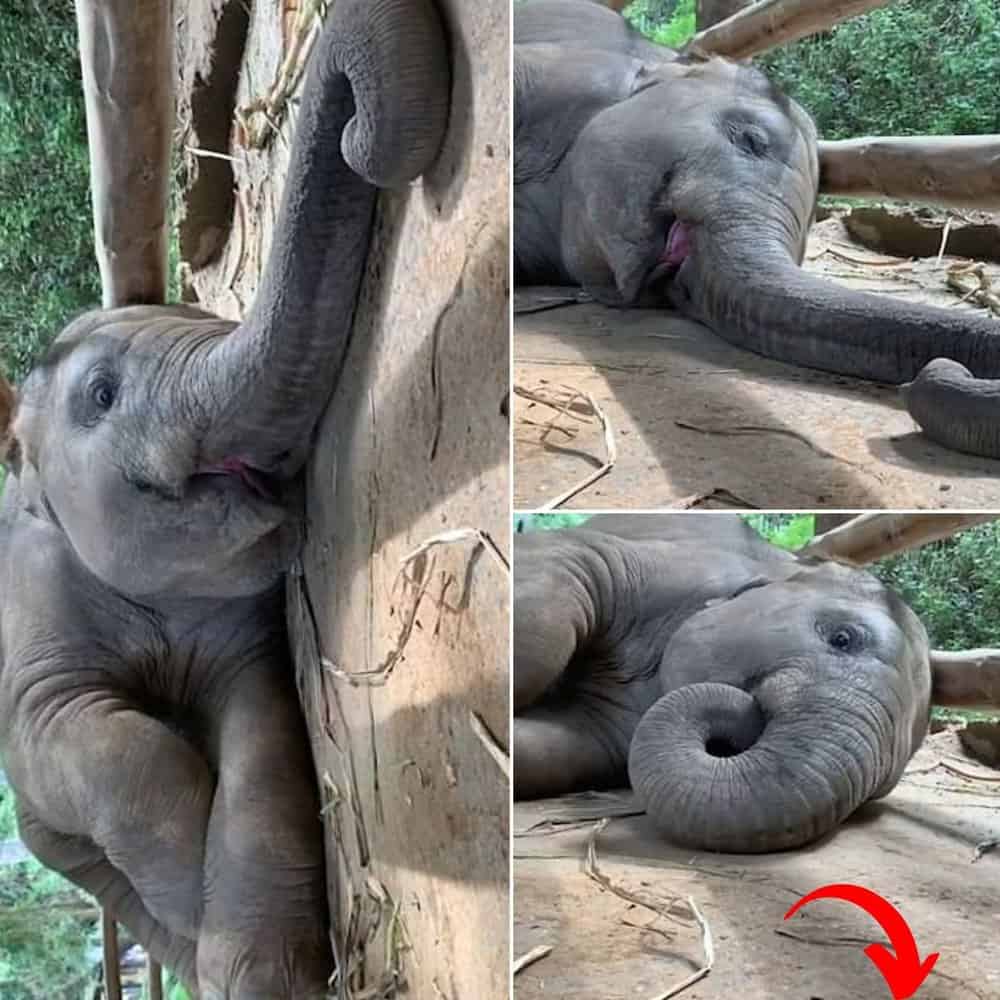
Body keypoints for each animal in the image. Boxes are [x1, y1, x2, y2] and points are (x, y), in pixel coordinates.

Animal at [0, 1, 450, 996]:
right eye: (101, 395)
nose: (362, 133)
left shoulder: (244, 635)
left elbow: (265, 733)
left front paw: (259, 962)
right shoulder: (29, 629)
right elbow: (97, 741)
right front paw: (198, 907)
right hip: (51, 842)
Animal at [513, 514, 933, 853]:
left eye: (877, 790)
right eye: (843, 638)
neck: (782, 562)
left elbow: (556, 748)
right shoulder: (658, 566)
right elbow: (561, 579)